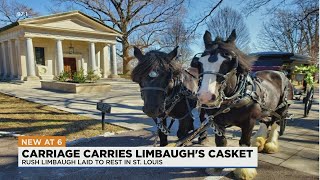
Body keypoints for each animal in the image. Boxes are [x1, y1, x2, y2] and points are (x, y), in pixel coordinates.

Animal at [191, 29, 294, 179]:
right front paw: (216, 168)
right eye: (199, 63)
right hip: (265, 107)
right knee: (265, 121)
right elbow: (220, 142)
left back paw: (271, 145)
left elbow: (244, 142)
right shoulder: (217, 122)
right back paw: (258, 141)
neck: (234, 98)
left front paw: (244, 171)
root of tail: (280, 72)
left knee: (275, 123)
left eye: (229, 62)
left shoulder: (249, 122)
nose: (205, 96)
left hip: (281, 108)